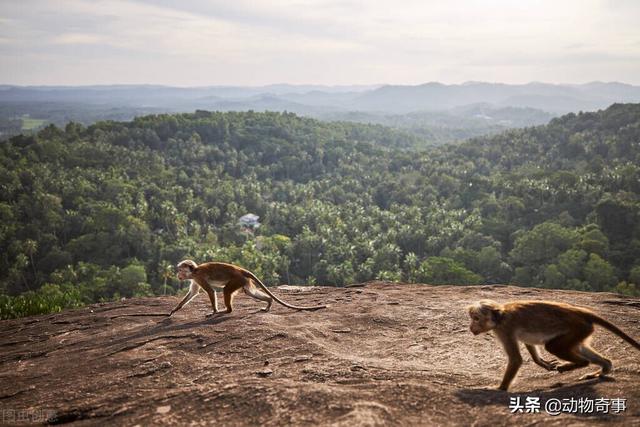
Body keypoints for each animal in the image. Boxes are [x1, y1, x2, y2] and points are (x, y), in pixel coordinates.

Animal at [168, 260, 328, 316]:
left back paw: (228, 310)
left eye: (180, 270)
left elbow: (210, 291)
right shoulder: (195, 279)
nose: (178, 275)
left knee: (227, 290)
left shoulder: (199, 277)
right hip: (242, 281)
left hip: (236, 279)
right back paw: (269, 302)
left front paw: (214, 311)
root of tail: (240, 269)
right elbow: (193, 292)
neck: (194, 271)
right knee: (249, 292)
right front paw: (175, 309)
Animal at [464, 300, 640, 392]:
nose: (471, 326)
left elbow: (516, 359)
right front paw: (542, 362)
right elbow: (528, 342)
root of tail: (580, 311)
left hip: (576, 327)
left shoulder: (504, 329)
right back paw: (603, 368)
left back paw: (577, 365)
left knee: (553, 347)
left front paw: (499, 388)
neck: (500, 316)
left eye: (476, 318)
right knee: (579, 347)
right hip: (582, 330)